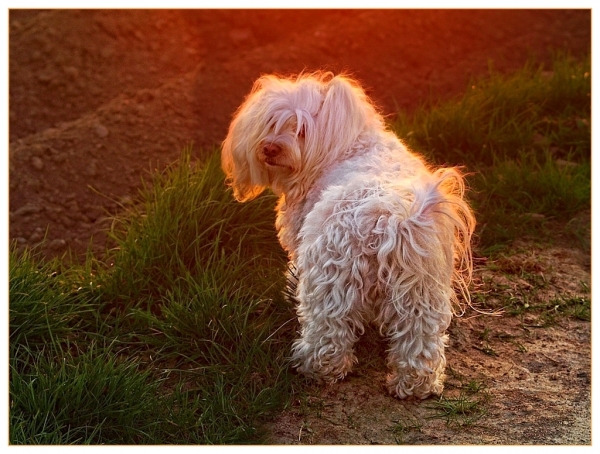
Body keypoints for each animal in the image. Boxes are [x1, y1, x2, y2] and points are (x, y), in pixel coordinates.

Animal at [220, 72, 474, 400]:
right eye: (272, 123)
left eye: (301, 130)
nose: (270, 148)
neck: (344, 146)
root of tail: (390, 215)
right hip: (420, 288)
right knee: (420, 340)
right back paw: (415, 385)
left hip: (332, 277)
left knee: (328, 331)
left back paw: (315, 368)